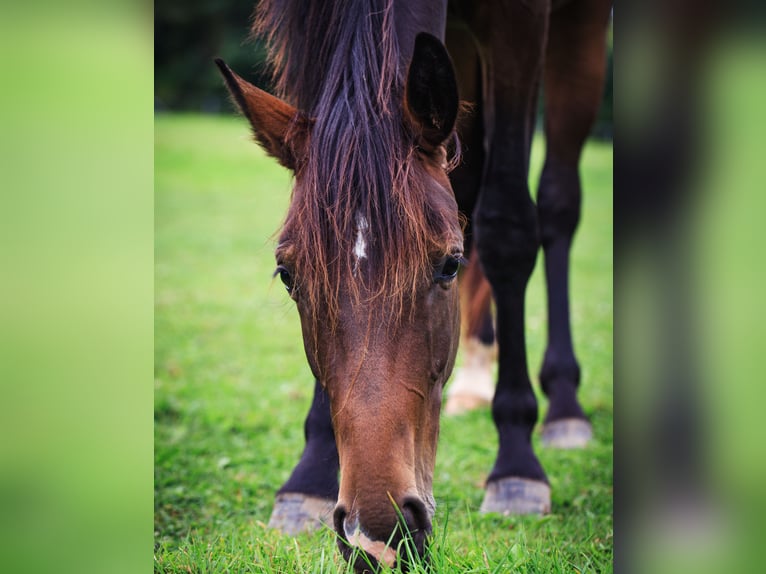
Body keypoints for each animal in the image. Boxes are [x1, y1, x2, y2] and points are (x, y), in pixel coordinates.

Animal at [218, 0, 612, 572]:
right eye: (288, 276)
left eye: (449, 265)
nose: (377, 536)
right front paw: (309, 475)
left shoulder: (521, 23)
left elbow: (509, 224)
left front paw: (516, 467)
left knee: (557, 204)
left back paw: (563, 406)